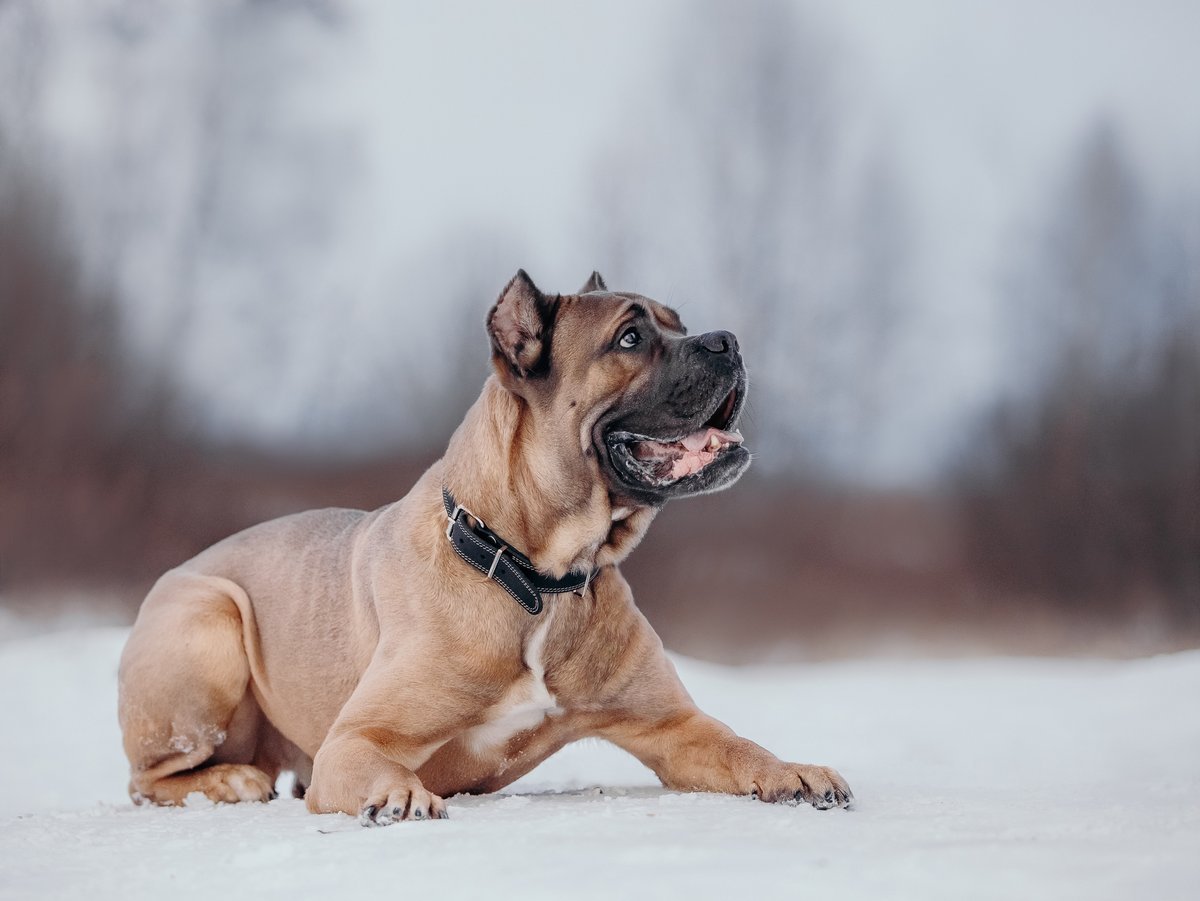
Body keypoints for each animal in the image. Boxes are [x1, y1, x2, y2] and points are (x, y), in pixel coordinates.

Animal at [119, 269, 854, 825]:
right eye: (631, 336)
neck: (540, 575)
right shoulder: (354, 740)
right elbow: (374, 761)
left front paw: (793, 770)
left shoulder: (674, 726)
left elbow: (736, 744)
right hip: (211, 620)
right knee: (151, 778)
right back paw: (228, 781)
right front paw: (397, 792)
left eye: (681, 322)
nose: (728, 340)